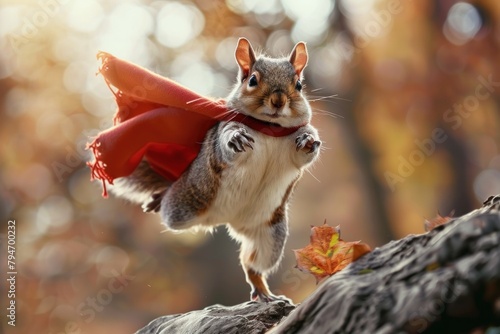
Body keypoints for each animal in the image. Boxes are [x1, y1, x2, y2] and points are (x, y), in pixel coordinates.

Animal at [109, 37, 320, 302]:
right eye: (252, 80)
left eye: (299, 84)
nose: (279, 101)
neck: (270, 127)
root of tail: (225, 219)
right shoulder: (224, 131)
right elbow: (228, 142)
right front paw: (236, 139)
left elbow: (304, 153)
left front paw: (308, 141)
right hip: (184, 206)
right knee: (171, 208)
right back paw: (159, 198)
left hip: (270, 233)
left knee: (251, 263)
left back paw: (264, 292)